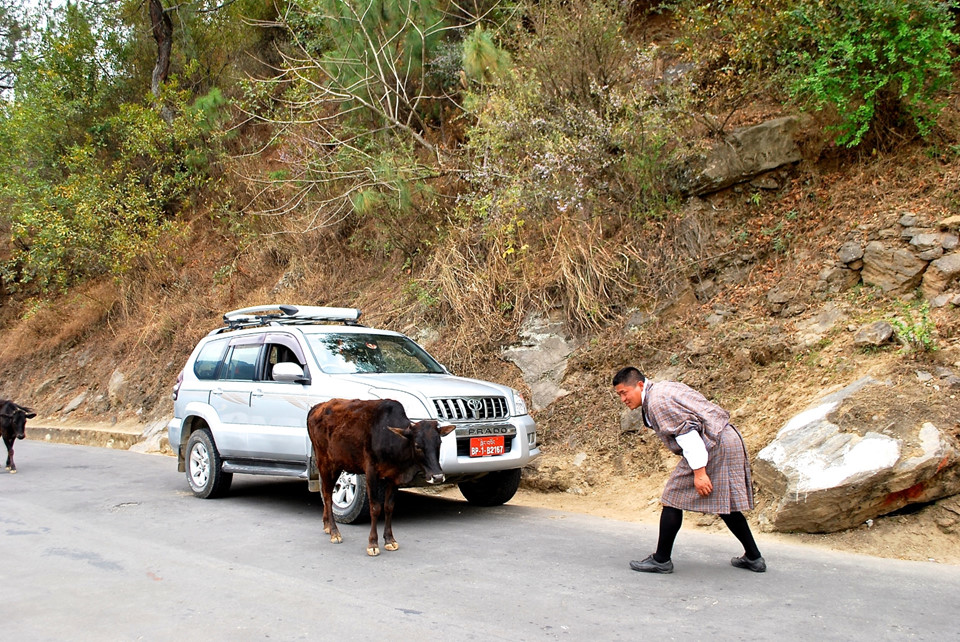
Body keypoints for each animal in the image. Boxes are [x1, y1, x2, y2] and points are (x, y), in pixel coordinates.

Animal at [310, 396, 456, 556]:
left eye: (439, 443)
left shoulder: (394, 477)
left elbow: (388, 507)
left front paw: (390, 540)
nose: (437, 476)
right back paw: (334, 532)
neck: (391, 440)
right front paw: (373, 543)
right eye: (418, 445)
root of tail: (316, 407)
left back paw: (327, 525)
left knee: (327, 492)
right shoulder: (371, 473)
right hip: (325, 462)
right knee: (327, 495)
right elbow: (375, 508)